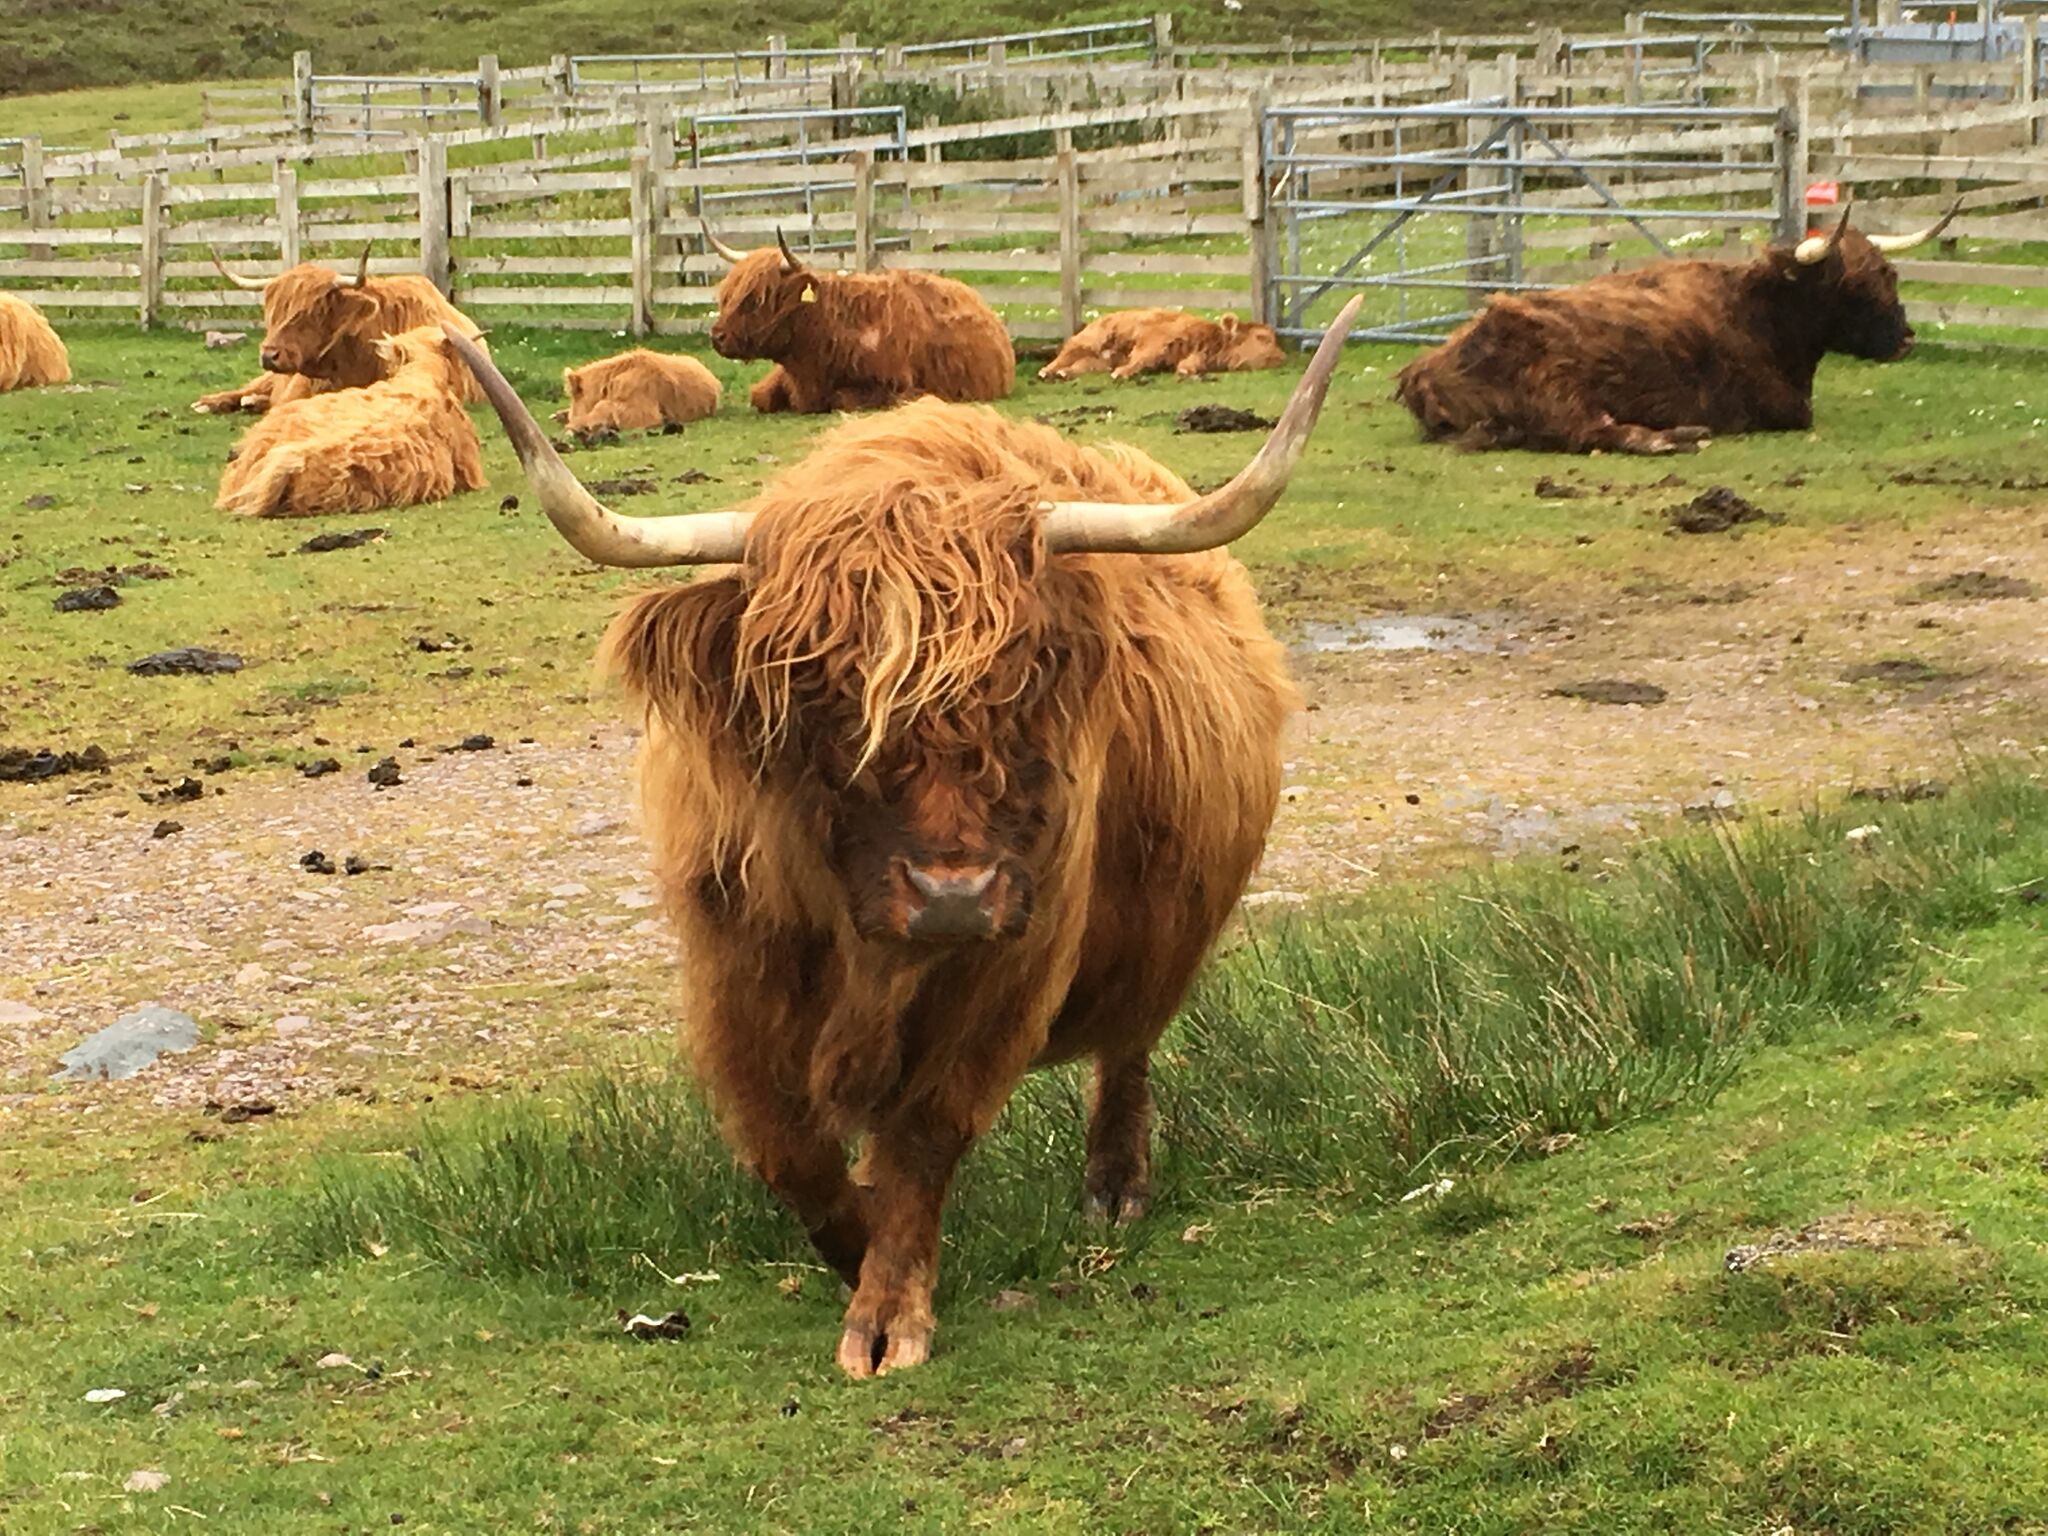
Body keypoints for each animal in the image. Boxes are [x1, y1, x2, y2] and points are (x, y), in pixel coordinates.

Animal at [703, 227, 1014, 414]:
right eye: (728, 295)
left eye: (757, 299)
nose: (717, 336)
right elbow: (760, 396)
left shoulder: (895, 388)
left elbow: (843, 399)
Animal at [1039, 309, 1287, 382]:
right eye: (1262, 338)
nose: (1282, 357)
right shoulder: (1152, 341)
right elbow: (1140, 357)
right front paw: (1123, 373)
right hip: (1089, 341)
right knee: (1063, 356)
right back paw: (1047, 371)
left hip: (1096, 361)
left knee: (1078, 366)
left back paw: (1064, 374)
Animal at [1394, 202, 1960, 455]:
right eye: (1853, 286)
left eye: (1889, 273)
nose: (1905, 340)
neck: (1757, 312)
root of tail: (1423, 371)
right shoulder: (1782, 408)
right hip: (1562, 396)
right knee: (1601, 433)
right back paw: (1683, 436)